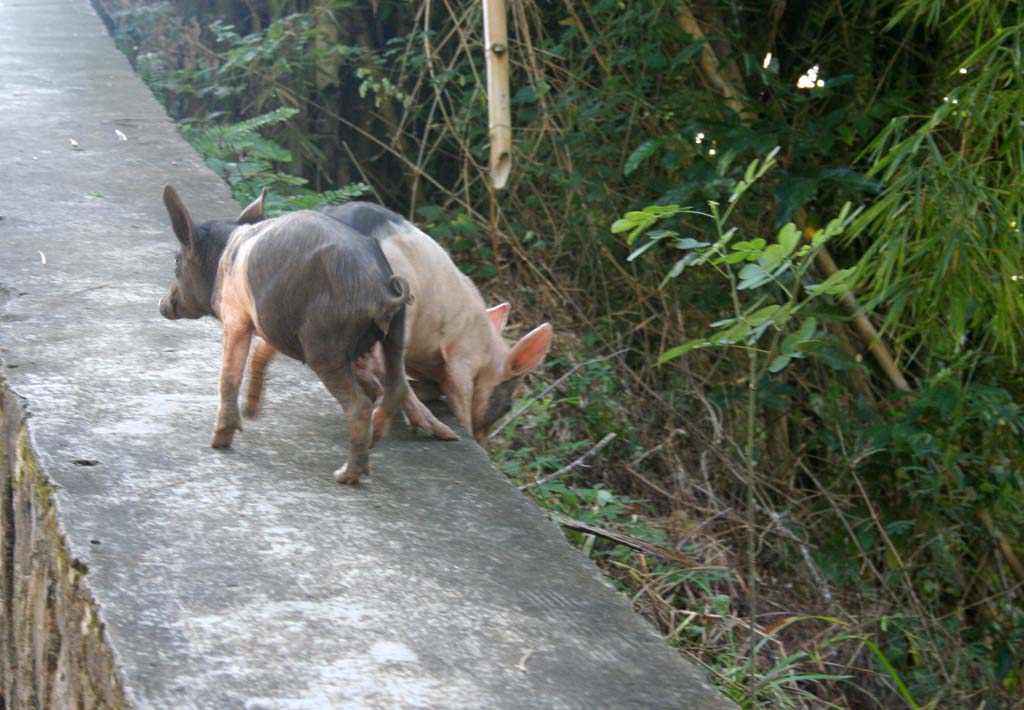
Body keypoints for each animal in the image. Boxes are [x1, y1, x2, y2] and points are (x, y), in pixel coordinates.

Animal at [157, 182, 409, 485]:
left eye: (176, 261)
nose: (160, 305)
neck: (220, 258)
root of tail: (380, 290)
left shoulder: (236, 319)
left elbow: (228, 376)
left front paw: (218, 441)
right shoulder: (274, 322)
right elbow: (261, 353)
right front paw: (252, 412)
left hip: (323, 349)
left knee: (358, 405)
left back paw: (347, 475)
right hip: (396, 333)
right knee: (395, 388)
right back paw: (373, 444)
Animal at [241, 199, 552, 442]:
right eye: (508, 406)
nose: (485, 444)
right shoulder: (462, 360)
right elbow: (459, 398)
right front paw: (461, 432)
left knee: (268, 341)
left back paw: (252, 408)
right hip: (401, 301)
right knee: (385, 365)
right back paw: (429, 429)